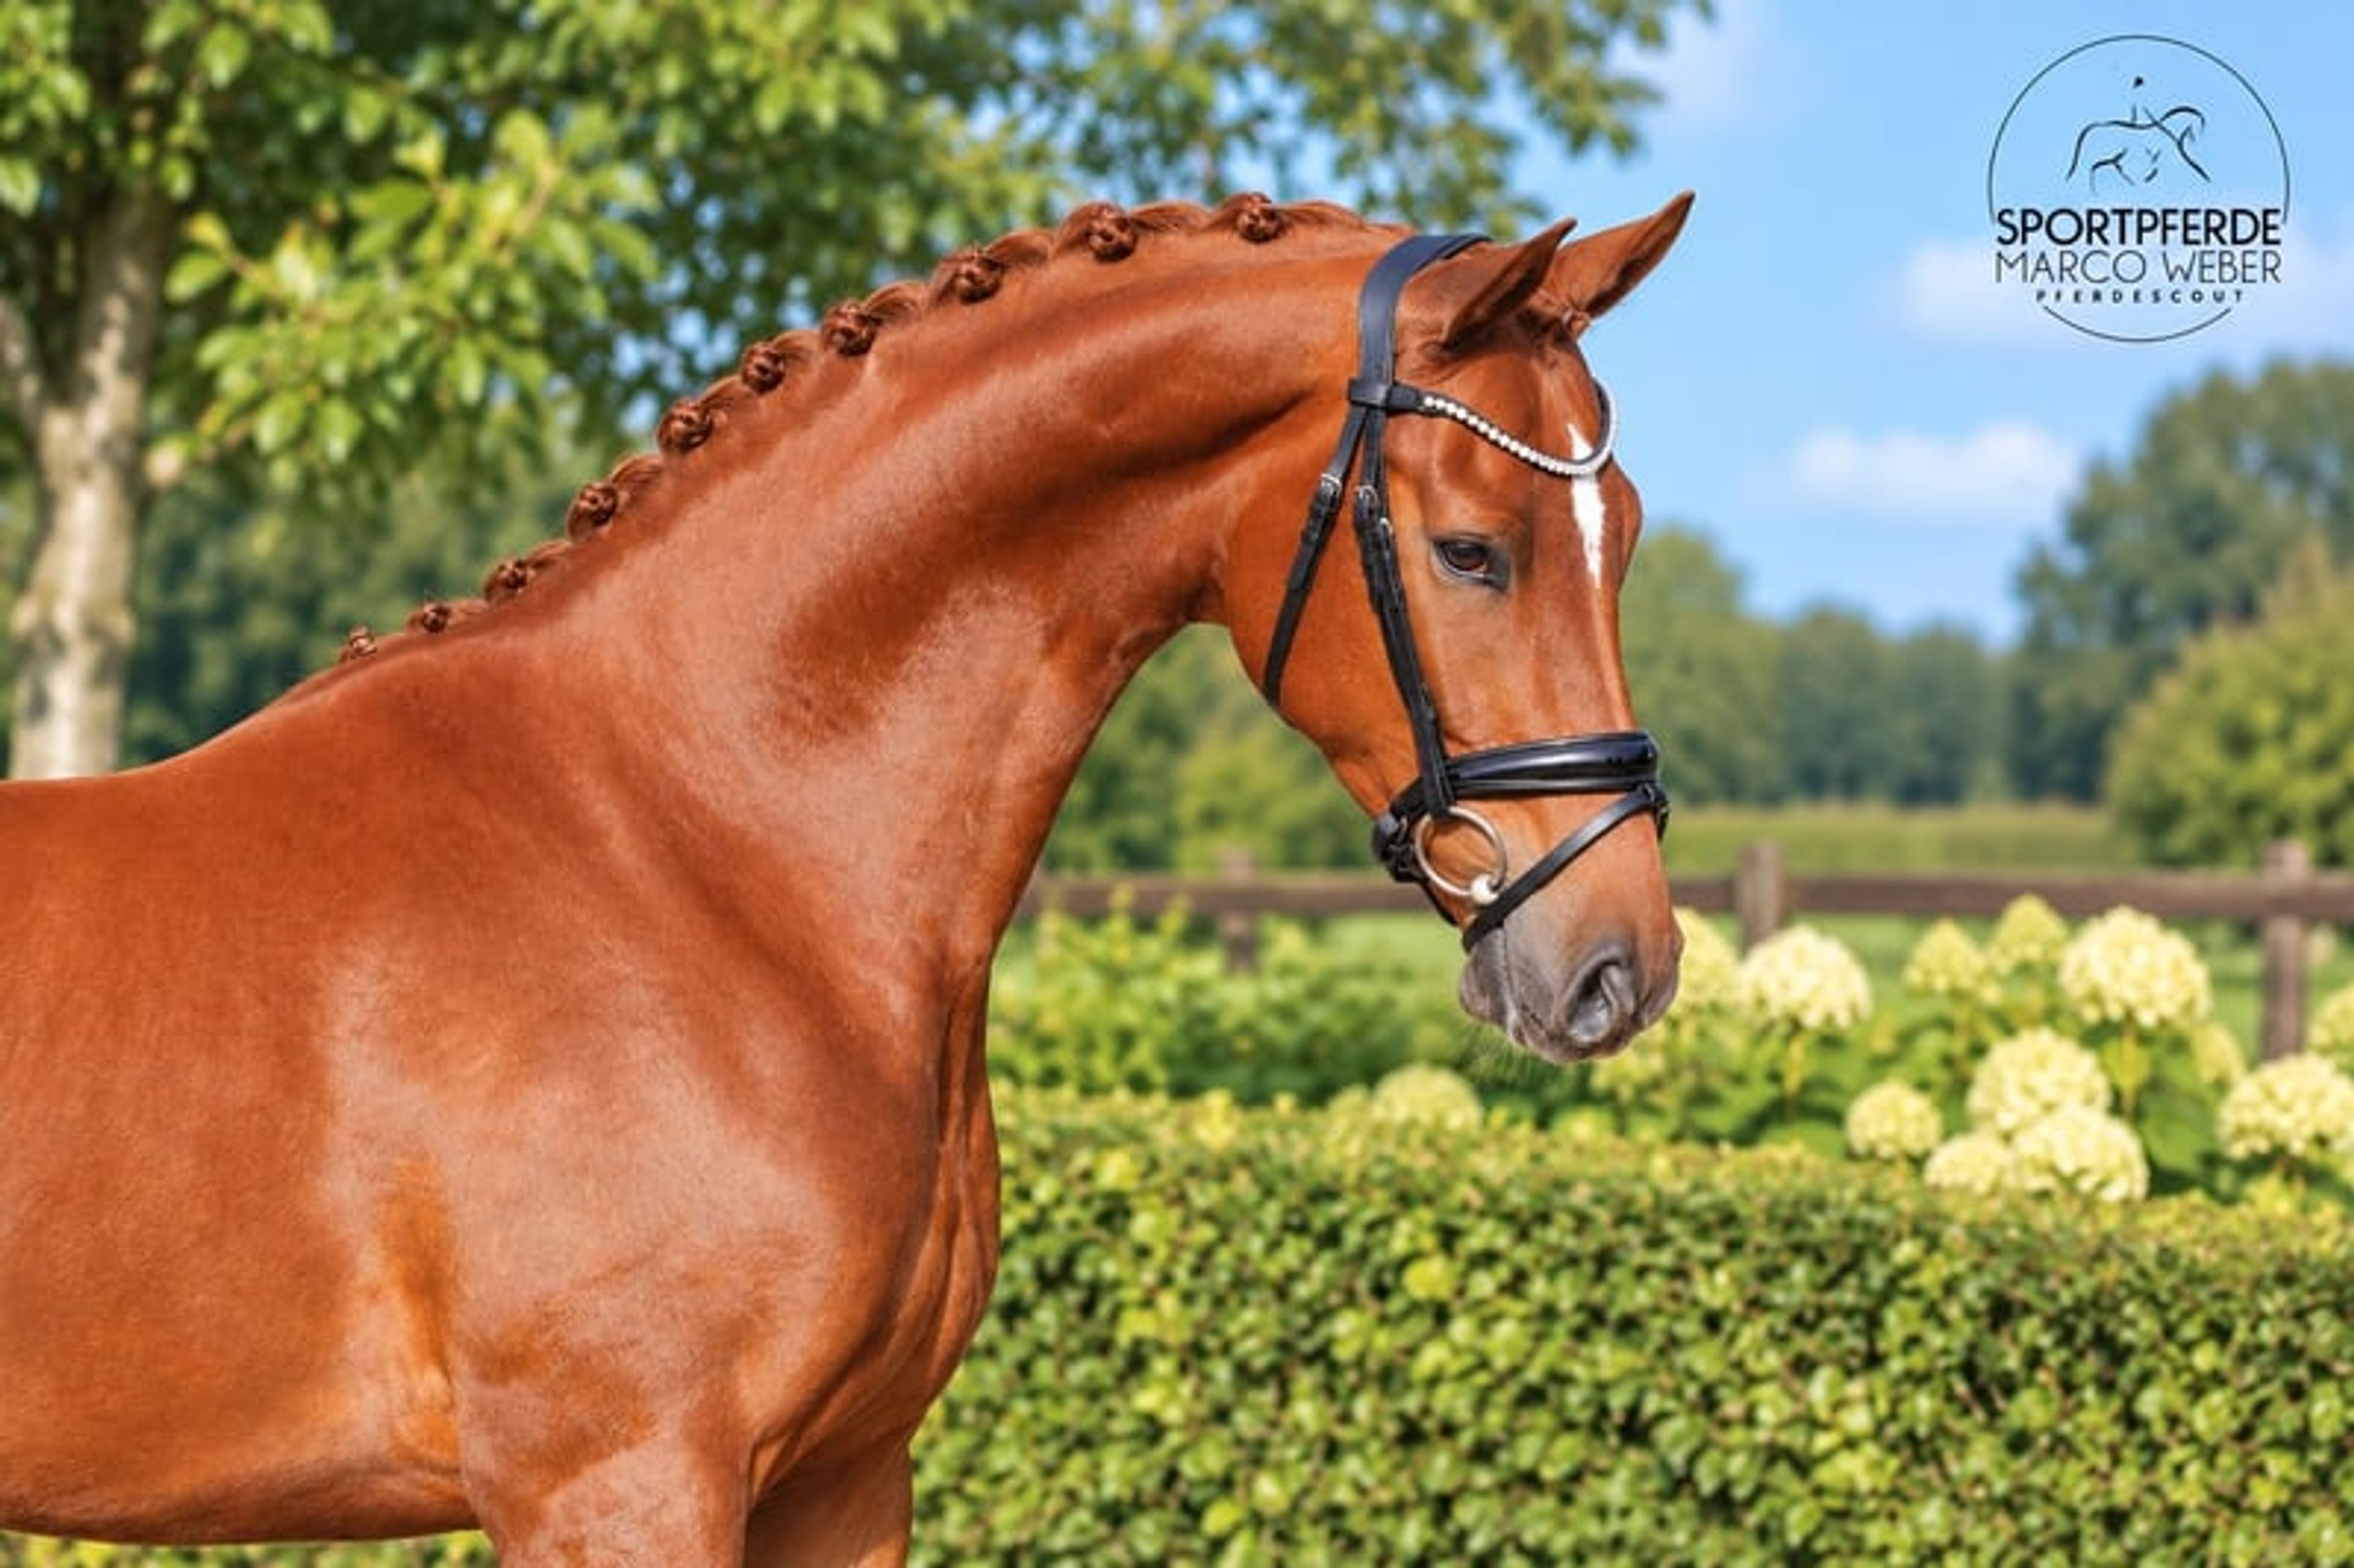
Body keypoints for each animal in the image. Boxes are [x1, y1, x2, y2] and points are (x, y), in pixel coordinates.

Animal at [0, 190, 1690, 1564]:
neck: (687, 838)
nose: (1618, 965)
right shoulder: (621, 1482)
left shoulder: (843, 1479)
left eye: (1620, 535)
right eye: (1472, 550)